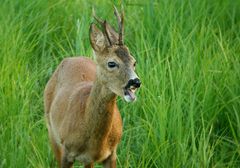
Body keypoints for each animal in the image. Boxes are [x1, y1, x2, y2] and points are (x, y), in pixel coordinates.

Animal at [43, 6, 141, 168]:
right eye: (111, 63)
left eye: (134, 62)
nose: (135, 82)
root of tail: (72, 58)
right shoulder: (66, 151)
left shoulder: (110, 154)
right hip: (51, 131)